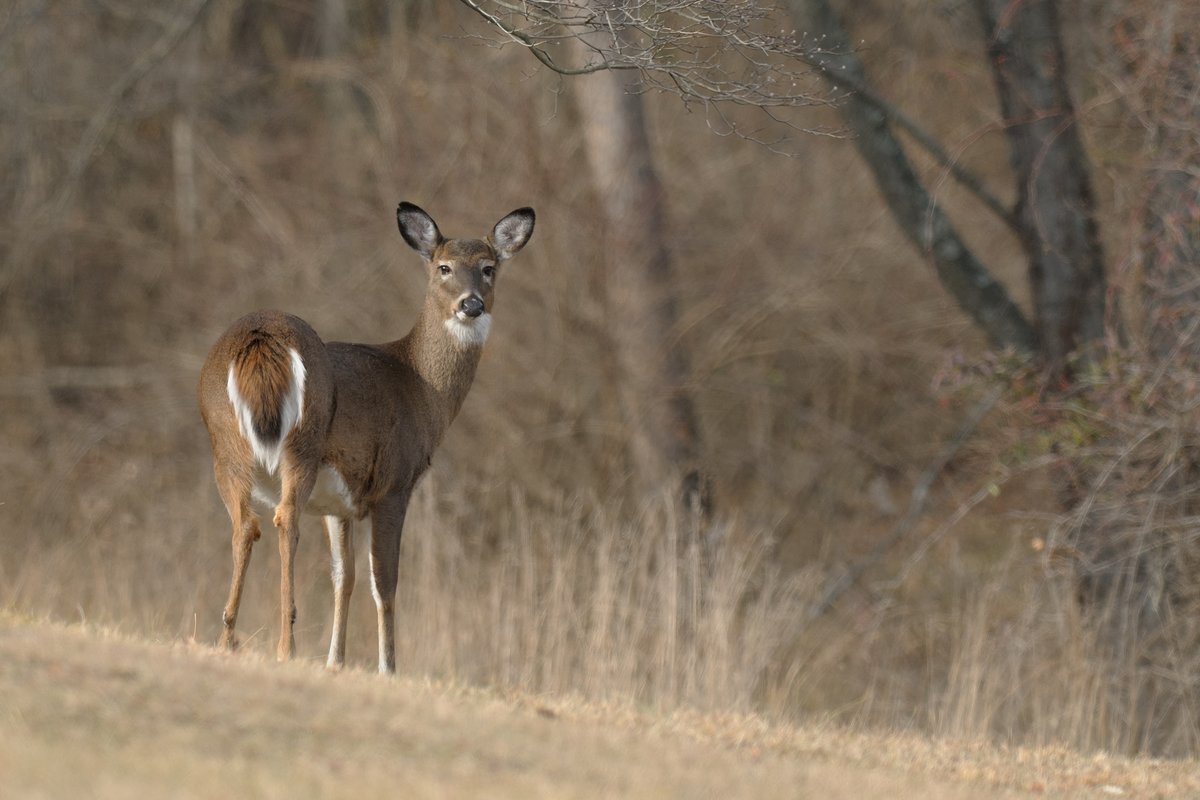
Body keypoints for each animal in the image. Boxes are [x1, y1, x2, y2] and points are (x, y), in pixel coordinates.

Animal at [197, 202, 535, 674]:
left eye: (488, 268)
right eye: (444, 267)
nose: (472, 304)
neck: (422, 388)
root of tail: (262, 339)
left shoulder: (338, 502)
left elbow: (345, 577)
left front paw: (334, 662)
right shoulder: (394, 484)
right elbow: (384, 580)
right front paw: (388, 666)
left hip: (224, 444)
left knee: (246, 525)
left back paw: (227, 637)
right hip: (303, 442)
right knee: (284, 519)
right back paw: (286, 643)